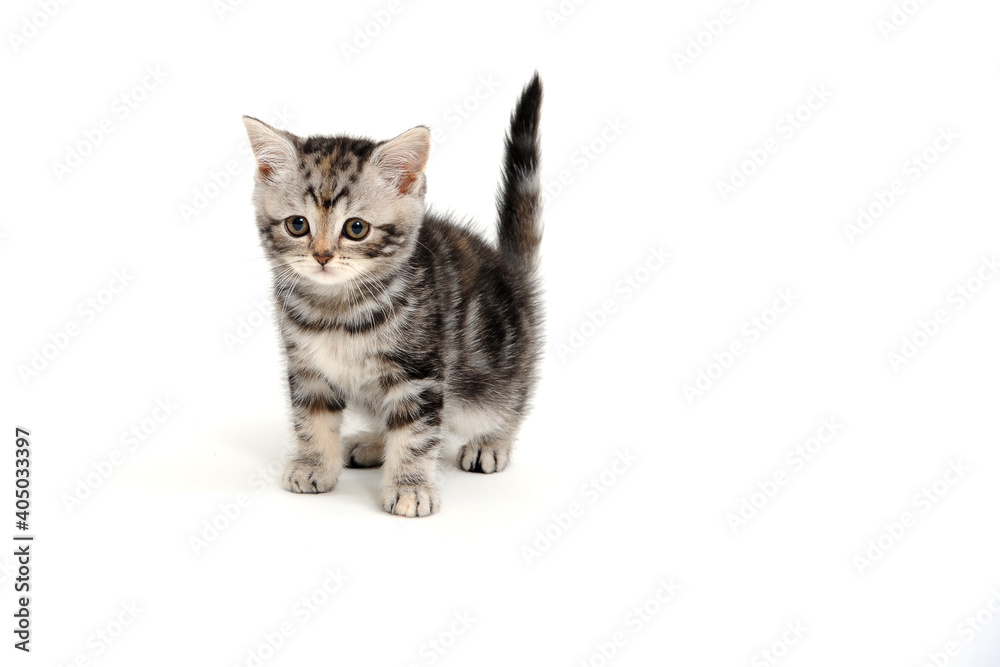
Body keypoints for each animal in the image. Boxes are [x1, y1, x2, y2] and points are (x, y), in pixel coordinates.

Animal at [240, 75, 540, 520]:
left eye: (356, 228)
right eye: (297, 225)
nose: (322, 255)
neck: (338, 307)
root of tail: (511, 269)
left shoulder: (420, 372)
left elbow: (416, 432)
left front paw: (411, 487)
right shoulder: (307, 366)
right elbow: (313, 416)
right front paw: (314, 464)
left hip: (494, 370)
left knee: (506, 401)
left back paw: (491, 442)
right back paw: (372, 443)